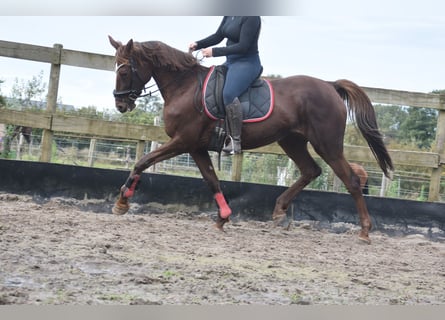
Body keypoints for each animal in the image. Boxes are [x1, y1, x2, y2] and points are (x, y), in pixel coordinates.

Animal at [107, 37, 392, 242]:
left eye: (124, 71)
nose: (121, 105)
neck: (184, 87)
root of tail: (329, 85)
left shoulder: (182, 141)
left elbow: (143, 161)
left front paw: (122, 202)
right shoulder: (196, 147)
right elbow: (212, 180)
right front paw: (223, 218)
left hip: (327, 144)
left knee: (351, 180)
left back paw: (364, 231)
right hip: (292, 141)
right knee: (311, 170)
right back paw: (279, 211)